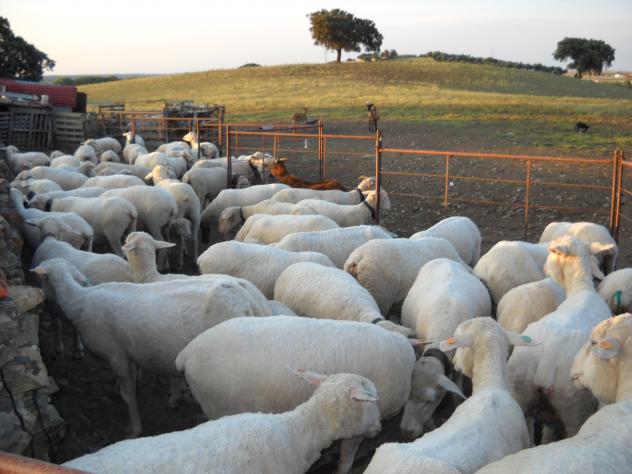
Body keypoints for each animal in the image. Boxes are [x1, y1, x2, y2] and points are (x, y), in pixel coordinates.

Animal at [33, 258, 274, 436]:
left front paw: (134, 429)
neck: (79, 302)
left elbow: (128, 394)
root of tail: (250, 300)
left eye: (42, 278)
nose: (44, 304)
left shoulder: (116, 354)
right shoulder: (128, 352)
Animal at [506, 236, 615, 439]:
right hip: (575, 403)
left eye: (552, 252)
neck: (581, 289)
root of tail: (546, 362)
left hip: (519, 391)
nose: (544, 269)